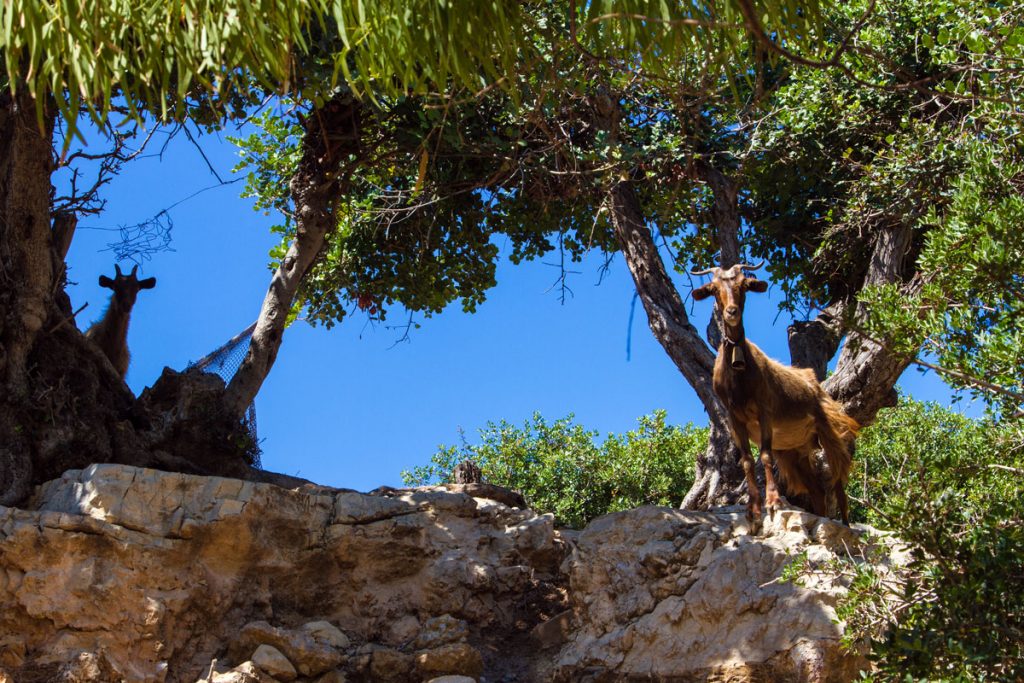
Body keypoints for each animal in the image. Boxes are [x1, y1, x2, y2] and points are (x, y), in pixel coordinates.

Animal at [692, 262, 860, 524]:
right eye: (714, 289)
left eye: (744, 285)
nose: (731, 311)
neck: (739, 373)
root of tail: (814, 384)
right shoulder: (734, 417)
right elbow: (747, 461)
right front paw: (752, 508)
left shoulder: (765, 410)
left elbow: (765, 456)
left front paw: (772, 502)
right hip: (793, 451)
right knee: (817, 490)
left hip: (828, 429)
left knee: (838, 480)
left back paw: (845, 524)